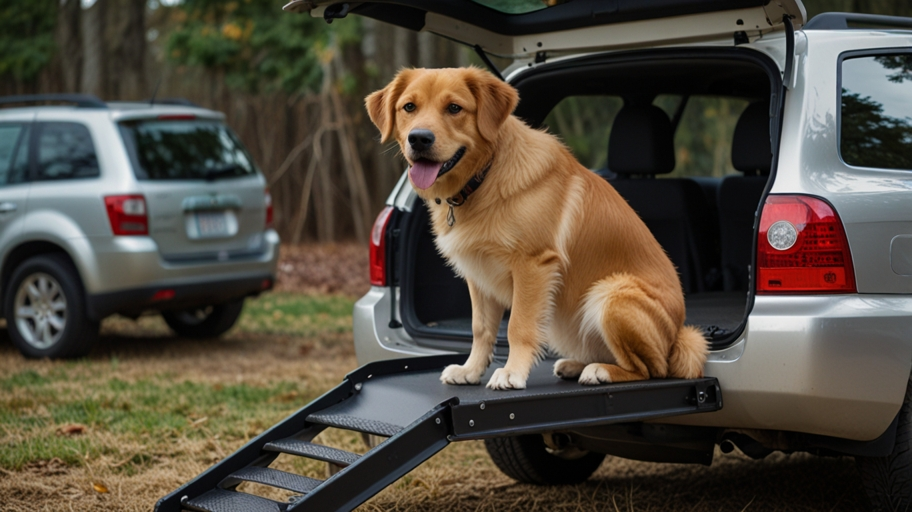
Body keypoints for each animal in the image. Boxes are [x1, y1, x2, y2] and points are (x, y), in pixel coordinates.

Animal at [366, 67, 708, 388]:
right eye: (409, 107)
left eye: (454, 108)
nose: (419, 138)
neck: (485, 177)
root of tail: (678, 338)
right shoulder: (478, 274)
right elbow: (481, 329)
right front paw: (470, 370)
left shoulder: (533, 265)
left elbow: (518, 326)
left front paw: (512, 373)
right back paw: (578, 364)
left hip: (611, 294)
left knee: (651, 370)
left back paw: (601, 371)